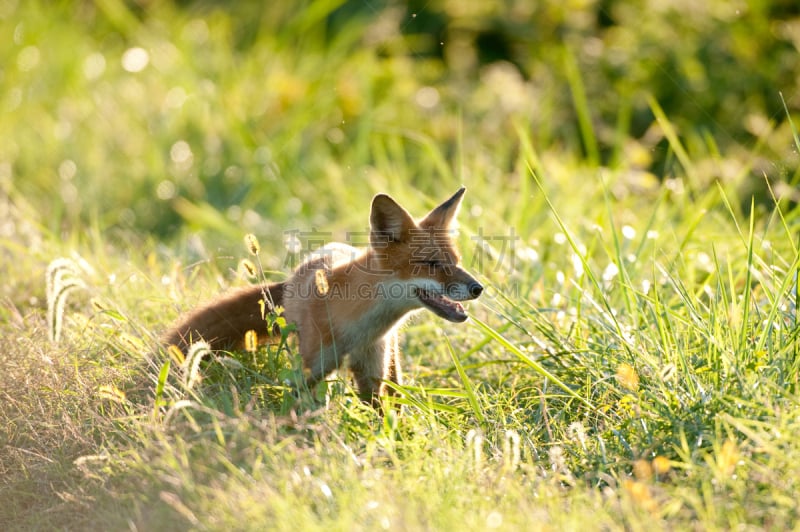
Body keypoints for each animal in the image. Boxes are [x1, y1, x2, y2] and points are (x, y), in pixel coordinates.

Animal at [162, 189, 482, 406]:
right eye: (432, 264)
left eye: (456, 261)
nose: (478, 288)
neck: (356, 329)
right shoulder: (309, 371)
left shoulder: (371, 371)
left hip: (389, 361)